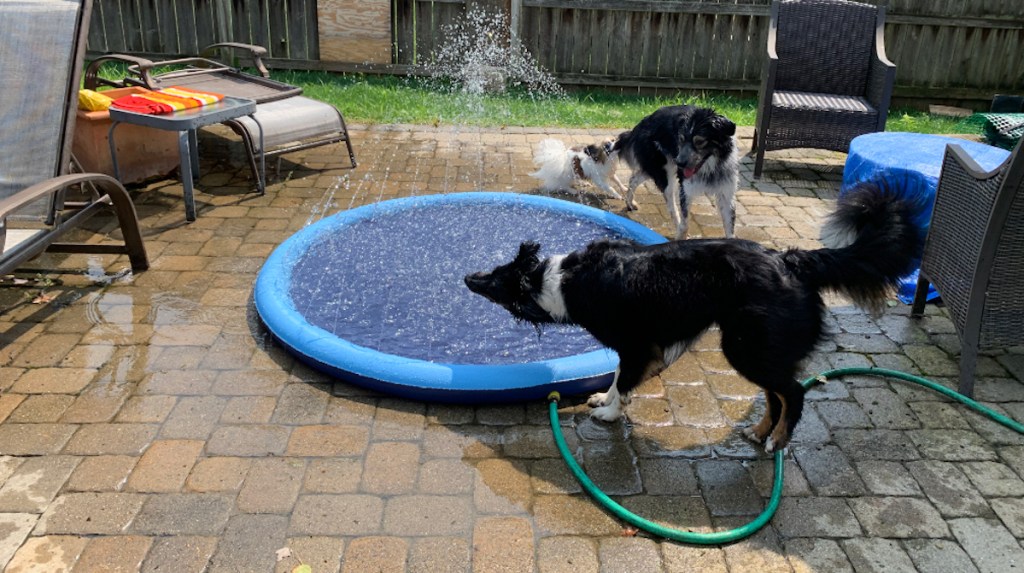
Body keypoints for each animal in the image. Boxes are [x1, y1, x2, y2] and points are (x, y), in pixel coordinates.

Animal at [468, 183, 925, 452]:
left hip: (744, 347)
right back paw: (760, 432)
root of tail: (789, 260)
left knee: (792, 394)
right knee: (775, 395)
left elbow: (624, 380)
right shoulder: (638, 348)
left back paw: (776, 441)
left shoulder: (638, 346)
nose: (467, 277)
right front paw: (604, 399)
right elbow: (617, 377)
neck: (557, 280)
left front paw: (610, 413)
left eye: (494, 281)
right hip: (757, 349)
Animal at [610, 105, 741, 239]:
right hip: (665, 172)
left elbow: (730, 228)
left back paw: (629, 202)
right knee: (671, 204)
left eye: (699, 142)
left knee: (634, 179)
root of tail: (644, 121)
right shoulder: (686, 190)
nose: (680, 163)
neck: (710, 169)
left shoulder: (726, 193)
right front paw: (681, 236)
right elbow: (685, 224)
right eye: (681, 139)